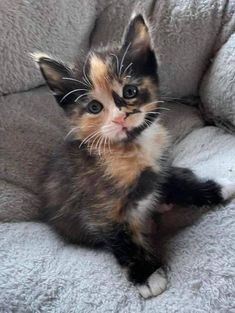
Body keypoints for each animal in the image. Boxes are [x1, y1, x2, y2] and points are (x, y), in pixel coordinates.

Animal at [34, 14, 235, 298]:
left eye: (130, 91)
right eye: (94, 107)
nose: (120, 117)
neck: (131, 146)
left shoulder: (160, 166)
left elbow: (178, 179)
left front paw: (217, 188)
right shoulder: (102, 206)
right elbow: (123, 240)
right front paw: (147, 277)